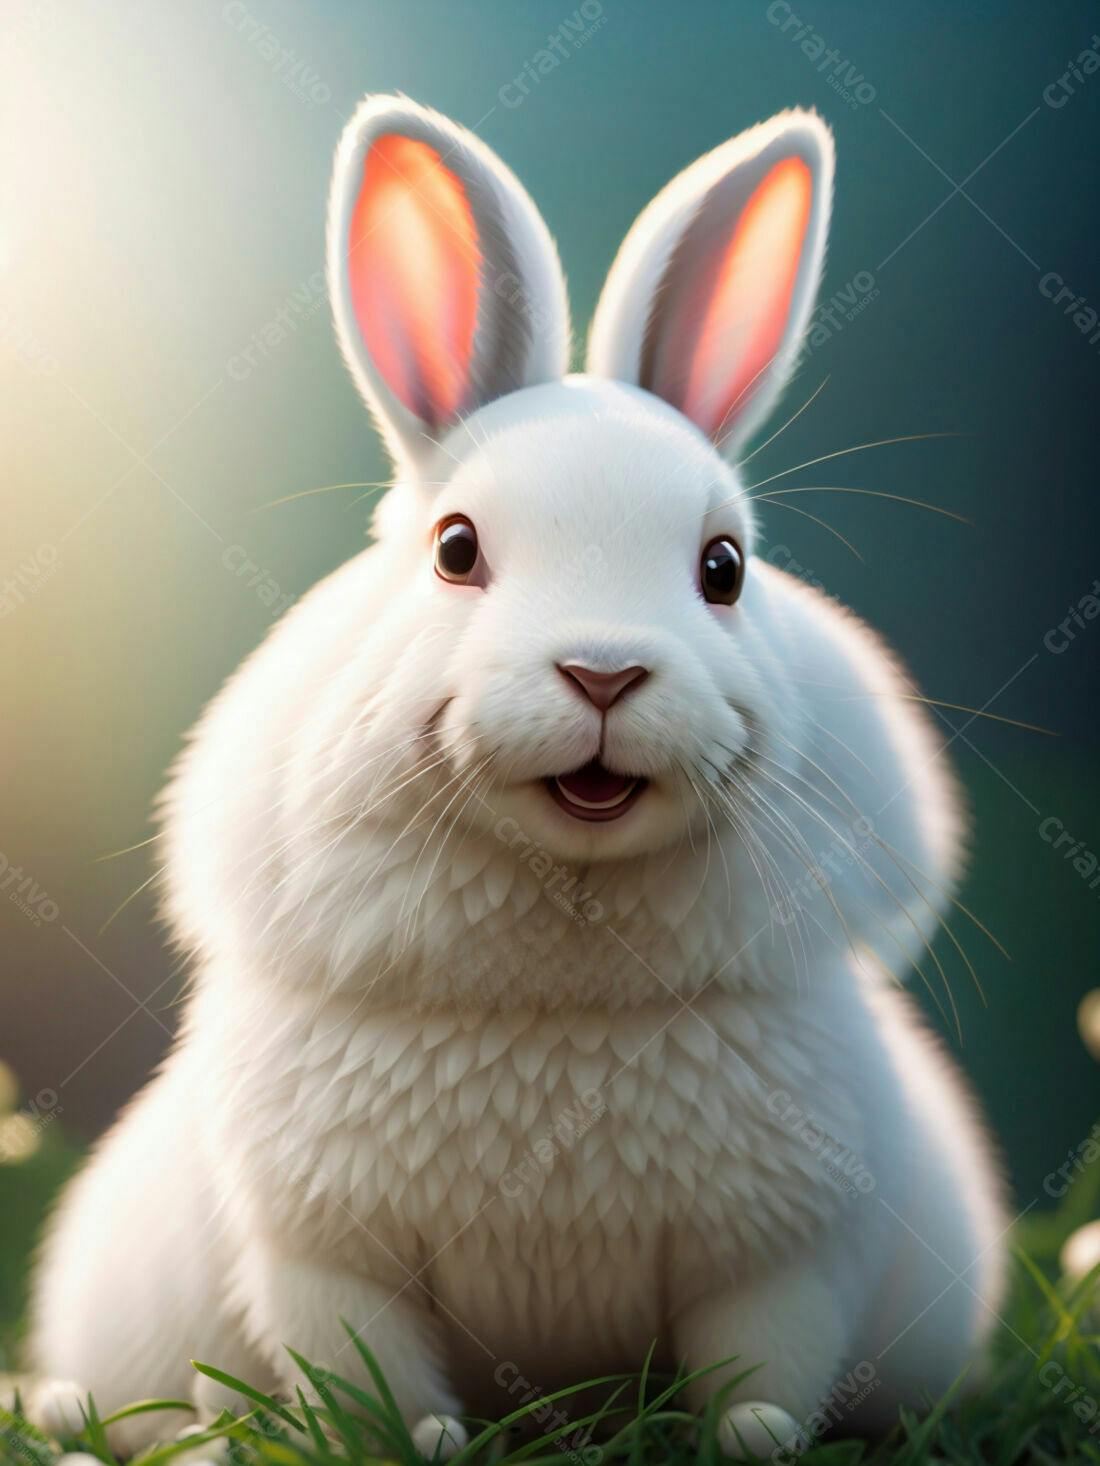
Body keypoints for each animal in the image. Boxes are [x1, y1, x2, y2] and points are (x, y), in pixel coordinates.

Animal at [29, 95, 1007, 1458]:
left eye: (722, 566)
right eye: (455, 550)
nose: (602, 671)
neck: (562, 978)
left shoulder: (782, 1254)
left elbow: (760, 1373)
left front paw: (746, 1439)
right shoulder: (327, 1254)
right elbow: (365, 1377)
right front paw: (424, 1440)